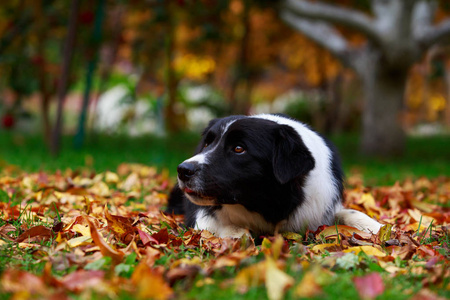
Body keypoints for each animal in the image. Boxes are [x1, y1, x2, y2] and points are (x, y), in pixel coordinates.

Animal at [167, 113, 382, 238]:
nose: (183, 170)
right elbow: (215, 225)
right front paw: (235, 232)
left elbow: (351, 212)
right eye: (206, 144)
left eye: (239, 148)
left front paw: (379, 228)